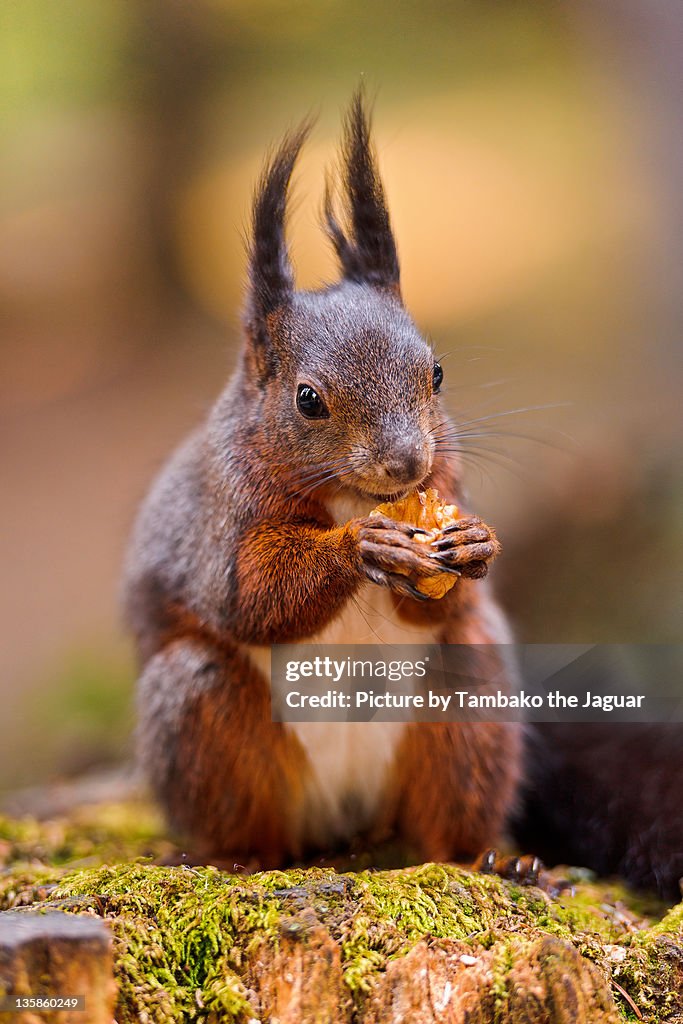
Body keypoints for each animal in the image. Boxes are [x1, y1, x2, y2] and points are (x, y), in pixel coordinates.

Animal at [122, 92, 520, 868]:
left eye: (436, 373)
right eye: (308, 399)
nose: (406, 465)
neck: (354, 494)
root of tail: (345, 823)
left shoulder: (447, 479)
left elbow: (438, 599)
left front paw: (475, 542)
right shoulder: (222, 520)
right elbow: (250, 595)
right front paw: (362, 546)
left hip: (470, 692)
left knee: (442, 815)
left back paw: (490, 858)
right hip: (202, 710)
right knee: (243, 807)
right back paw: (237, 857)